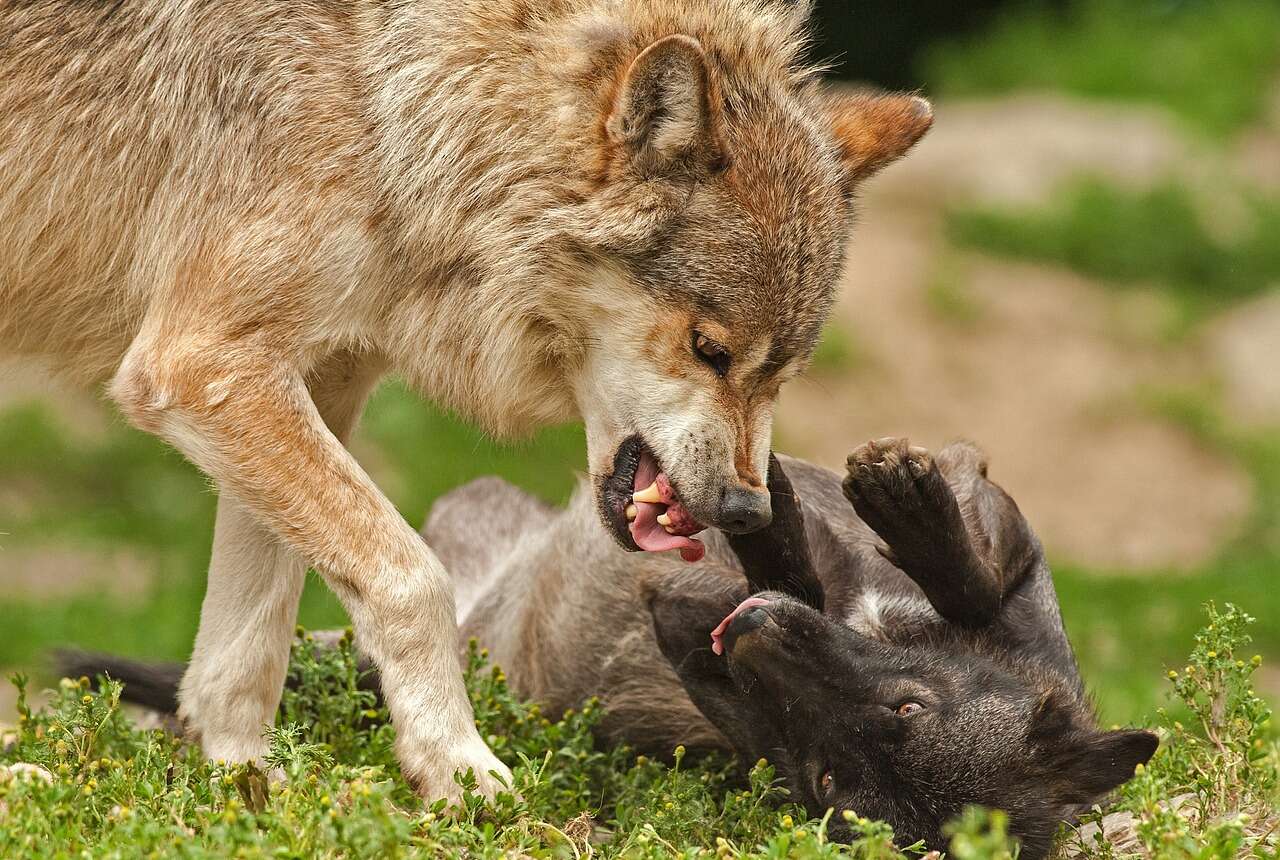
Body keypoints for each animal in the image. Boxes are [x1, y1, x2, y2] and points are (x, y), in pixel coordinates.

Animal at [0, 0, 931, 798]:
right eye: (711, 350)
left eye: (784, 375)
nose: (746, 510)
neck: (389, 110)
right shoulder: (202, 365)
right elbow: (412, 580)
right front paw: (456, 766)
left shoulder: (310, 381)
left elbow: (251, 632)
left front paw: (241, 782)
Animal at [74, 442, 1157, 854]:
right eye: (908, 706)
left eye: (830, 782)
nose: (743, 628)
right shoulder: (997, 554)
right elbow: (960, 566)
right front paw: (897, 505)